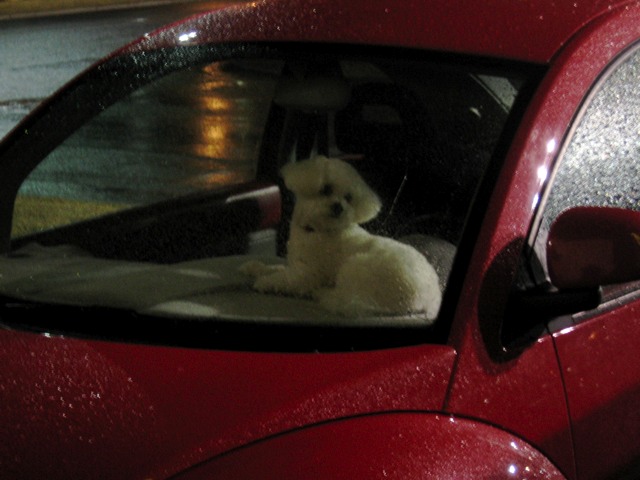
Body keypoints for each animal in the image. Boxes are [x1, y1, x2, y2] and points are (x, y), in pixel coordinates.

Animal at [242, 156, 442, 320]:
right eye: (326, 189)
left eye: (348, 198)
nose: (339, 207)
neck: (317, 230)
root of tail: (429, 298)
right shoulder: (295, 265)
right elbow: (276, 268)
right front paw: (255, 268)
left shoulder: (306, 275)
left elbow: (282, 279)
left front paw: (265, 282)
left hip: (356, 266)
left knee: (345, 300)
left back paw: (323, 294)